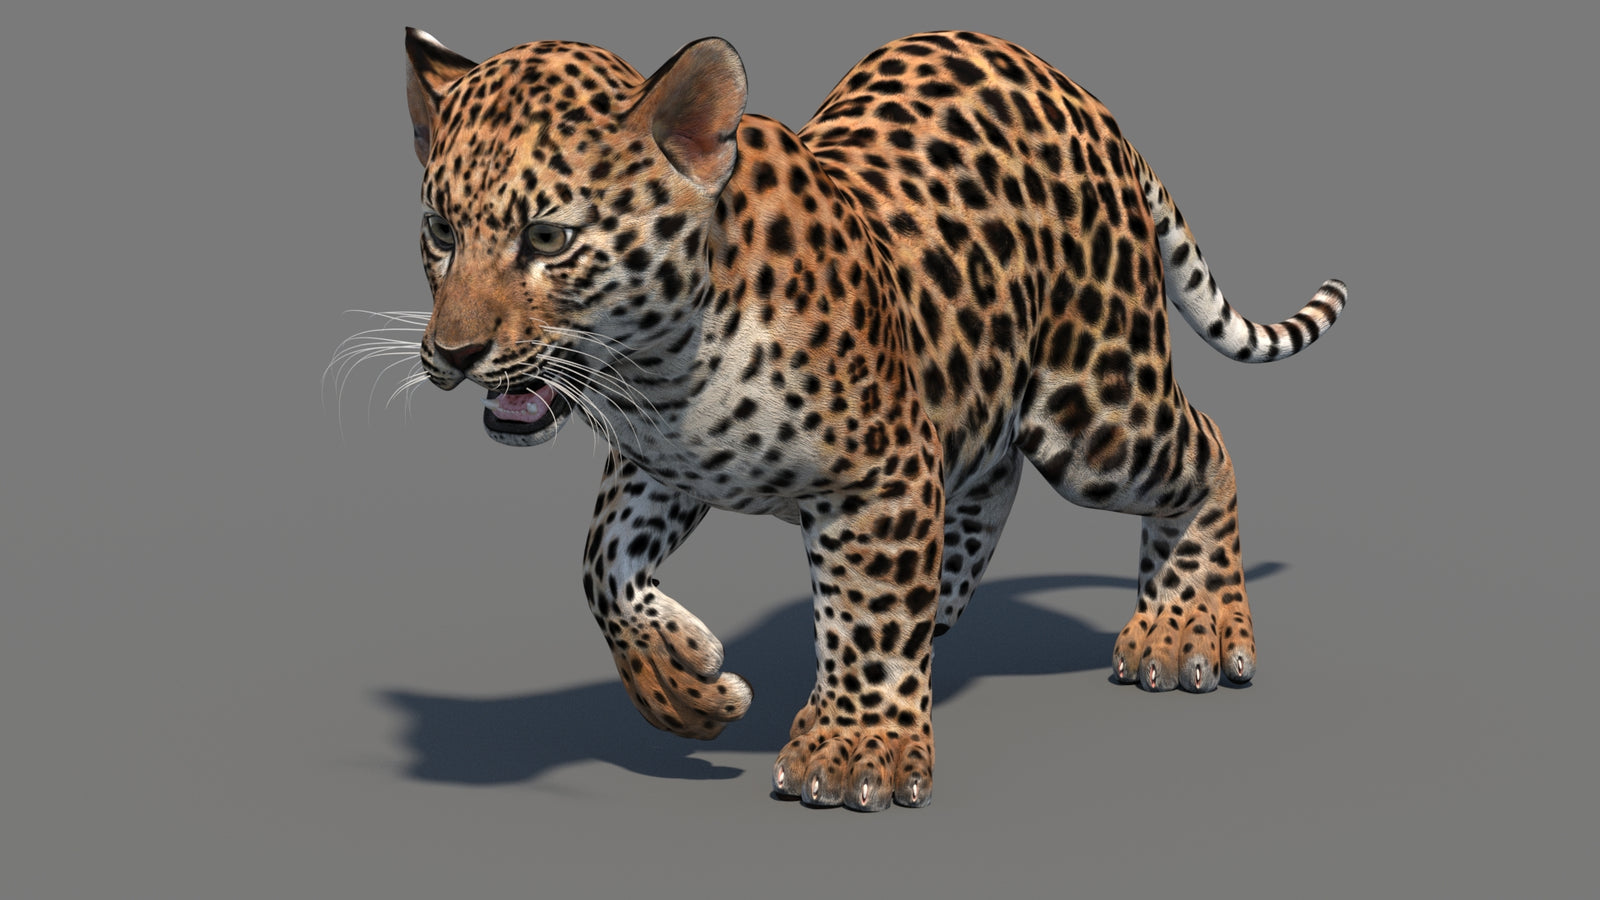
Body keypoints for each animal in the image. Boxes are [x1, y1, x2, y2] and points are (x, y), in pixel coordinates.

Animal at [397, 26, 1345, 810]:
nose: (451, 353)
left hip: (1097, 410)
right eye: (440, 230)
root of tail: (1082, 96)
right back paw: (941, 616)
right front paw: (686, 690)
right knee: (988, 485)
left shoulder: (880, 472)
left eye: (548, 238)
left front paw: (855, 752)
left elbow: (869, 608)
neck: (661, 371)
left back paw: (1189, 629)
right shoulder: (659, 466)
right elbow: (601, 561)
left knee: (1207, 447)